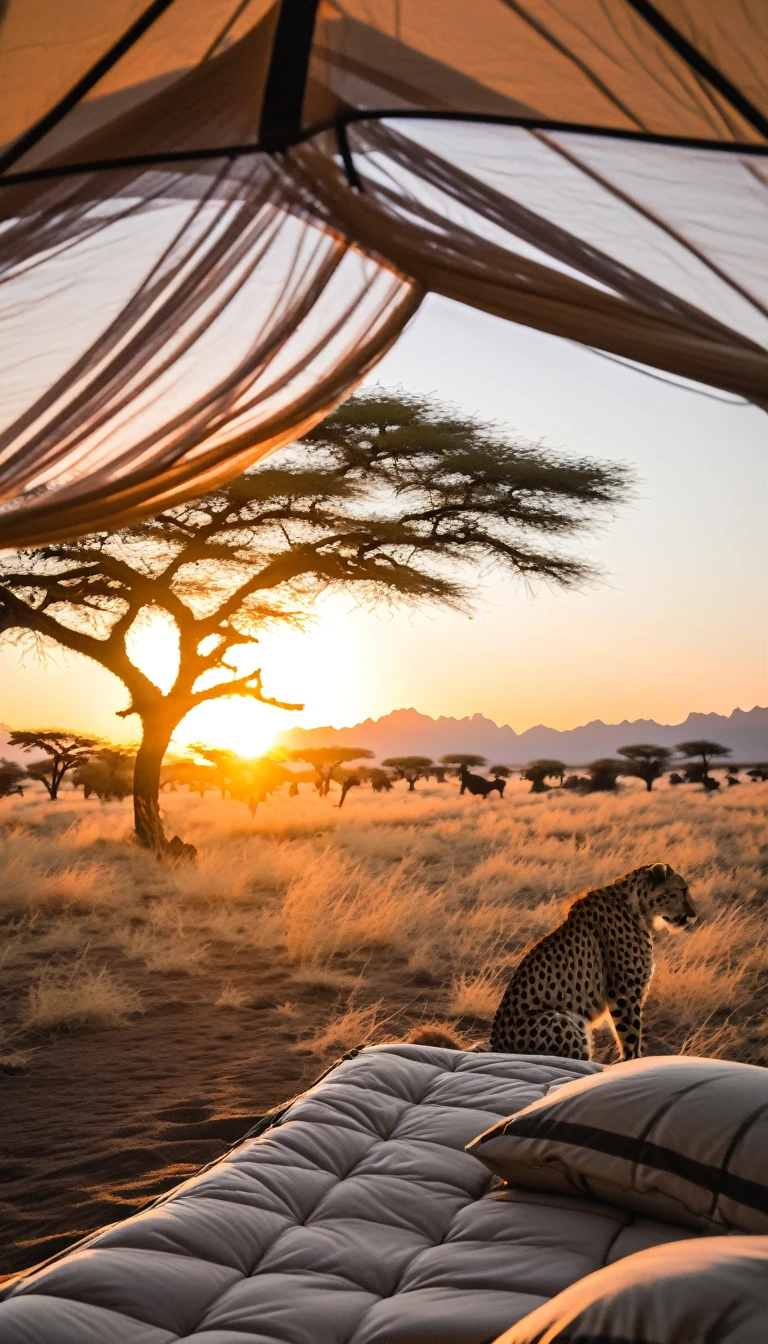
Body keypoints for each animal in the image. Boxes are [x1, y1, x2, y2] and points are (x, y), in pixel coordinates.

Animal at [489, 863, 697, 1061]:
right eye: (682, 890)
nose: (693, 914)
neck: (638, 905)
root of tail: (496, 1046)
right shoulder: (623, 992)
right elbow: (630, 1033)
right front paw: (630, 1061)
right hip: (565, 1018)